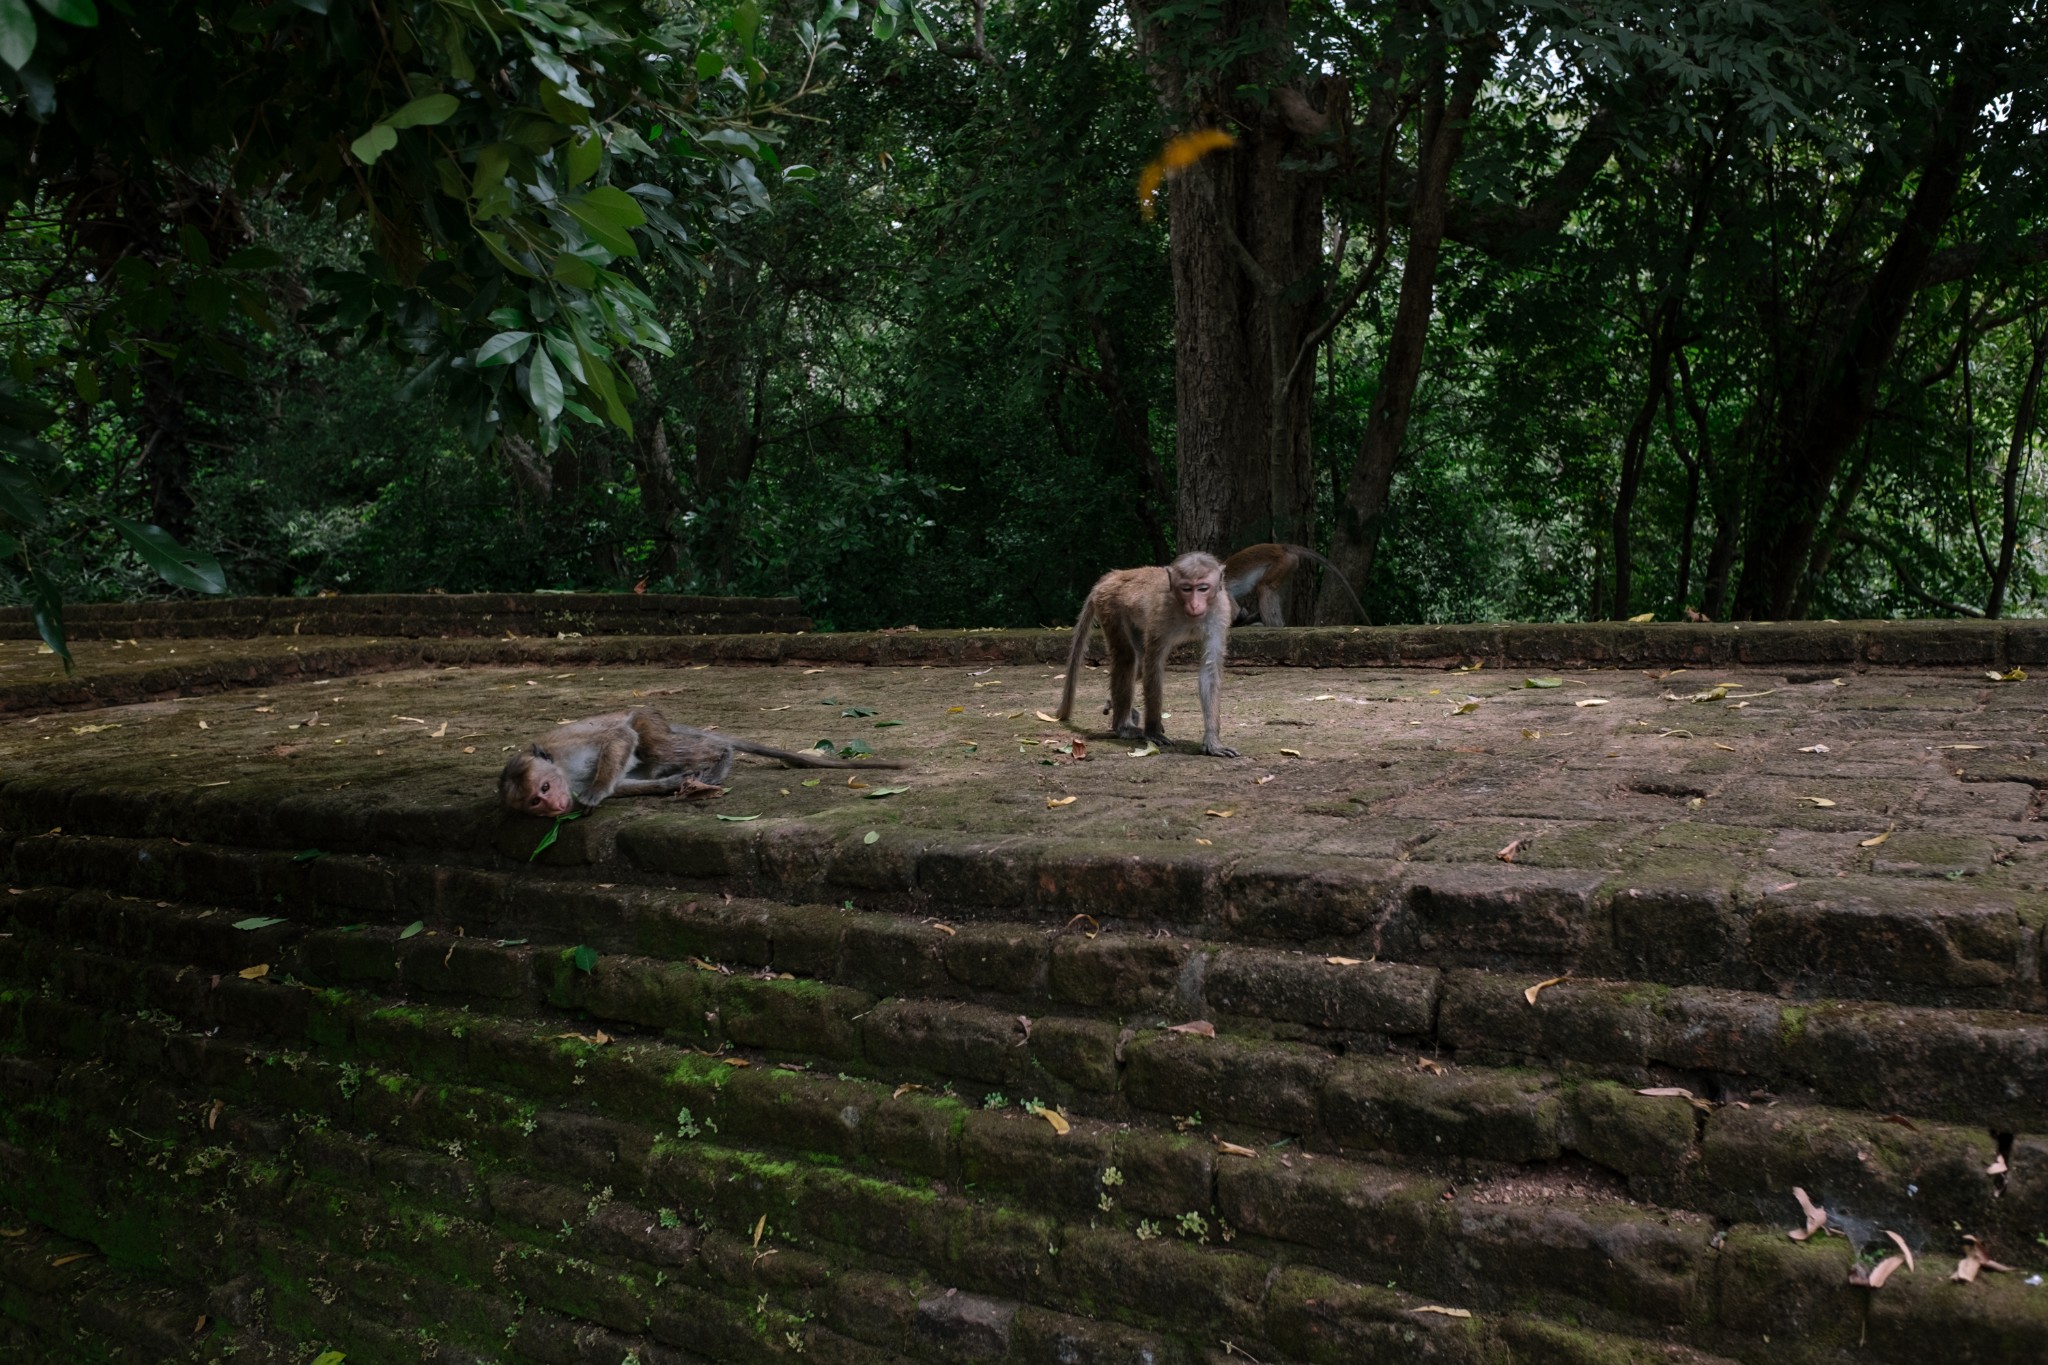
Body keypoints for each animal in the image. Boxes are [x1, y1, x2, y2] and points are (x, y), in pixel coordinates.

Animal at [495, 712, 905, 818]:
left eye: (544, 788)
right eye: (534, 802)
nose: (553, 806)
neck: (563, 772)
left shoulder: (568, 749)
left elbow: (618, 738)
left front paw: (595, 795)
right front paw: (669, 786)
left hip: (650, 722)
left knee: (648, 741)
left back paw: (720, 757)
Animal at [1056, 548, 1228, 757]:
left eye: (1203, 588)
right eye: (1187, 589)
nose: (1195, 605)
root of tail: (1113, 575)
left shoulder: (1220, 611)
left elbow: (1209, 669)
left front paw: (1213, 741)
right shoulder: (1162, 612)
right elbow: (1153, 664)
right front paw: (1153, 731)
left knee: (1137, 662)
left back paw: (1119, 707)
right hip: (1111, 606)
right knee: (1127, 657)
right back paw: (1123, 726)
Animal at [1220, 544, 1368, 630]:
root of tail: (1282, 547)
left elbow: (1233, 612)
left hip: (1283, 562)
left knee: (1264, 587)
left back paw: (1272, 626)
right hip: (1288, 565)